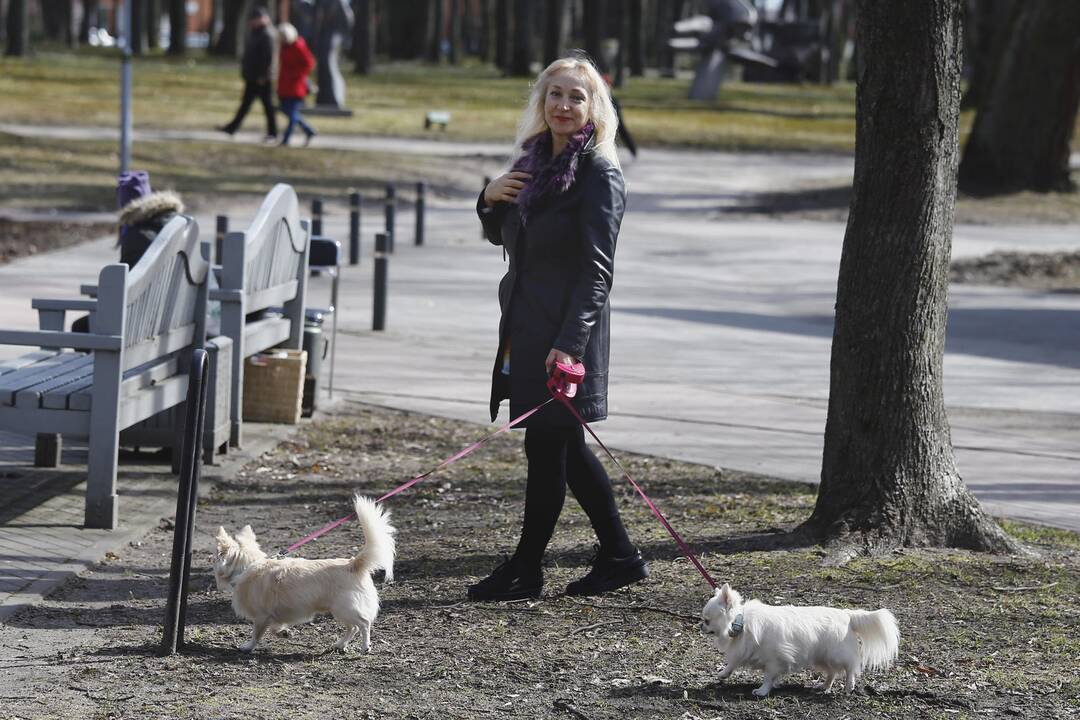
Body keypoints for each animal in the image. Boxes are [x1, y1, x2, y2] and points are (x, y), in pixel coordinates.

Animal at [212, 496, 395, 651]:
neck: (248, 566)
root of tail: (352, 564)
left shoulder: (261, 616)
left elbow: (256, 633)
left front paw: (248, 646)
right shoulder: (273, 615)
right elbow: (275, 628)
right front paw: (283, 632)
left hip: (345, 608)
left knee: (363, 623)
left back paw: (365, 646)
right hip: (339, 610)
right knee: (353, 628)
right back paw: (340, 644)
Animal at [699, 587, 902, 699]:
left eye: (707, 620)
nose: (700, 625)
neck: (741, 622)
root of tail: (847, 615)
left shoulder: (774, 660)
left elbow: (768, 676)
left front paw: (762, 691)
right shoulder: (742, 650)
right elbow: (732, 663)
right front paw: (723, 674)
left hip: (836, 655)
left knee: (850, 668)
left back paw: (849, 686)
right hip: (821, 658)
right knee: (832, 673)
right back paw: (824, 686)